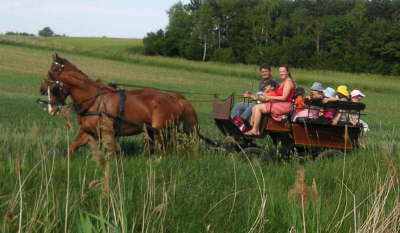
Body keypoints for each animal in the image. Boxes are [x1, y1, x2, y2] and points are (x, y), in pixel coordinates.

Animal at [41, 54, 198, 157]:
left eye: (54, 88)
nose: (51, 109)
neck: (94, 100)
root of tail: (174, 97)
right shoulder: (89, 131)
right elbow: (72, 147)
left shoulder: (108, 133)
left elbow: (112, 153)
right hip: (152, 131)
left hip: (162, 131)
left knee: (165, 150)